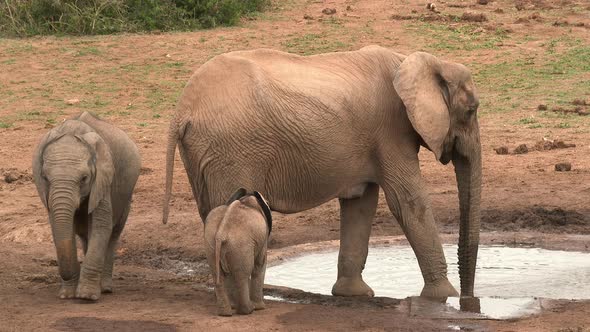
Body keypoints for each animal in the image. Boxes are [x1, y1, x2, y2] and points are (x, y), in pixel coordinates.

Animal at [33, 111, 141, 300]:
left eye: (84, 178)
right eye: (45, 178)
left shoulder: (103, 180)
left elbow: (101, 226)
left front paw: (86, 296)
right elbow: (60, 227)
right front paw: (67, 295)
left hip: (126, 197)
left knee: (113, 234)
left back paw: (105, 288)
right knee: (85, 234)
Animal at [162, 46, 480, 298]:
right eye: (472, 110)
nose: (470, 301)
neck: (418, 61)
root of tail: (183, 109)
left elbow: (360, 205)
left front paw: (353, 294)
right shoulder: (391, 133)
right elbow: (408, 202)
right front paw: (445, 297)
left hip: (204, 151)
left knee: (210, 211)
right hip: (230, 149)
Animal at [205, 188, 274, 316]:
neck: (245, 199)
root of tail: (221, 234)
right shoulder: (263, 238)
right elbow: (260, 264)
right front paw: (260, 308)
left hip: (211, 243)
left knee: (218, 274)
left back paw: (226, 313)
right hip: (241, 244)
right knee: (242, 274)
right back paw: (248, 310)